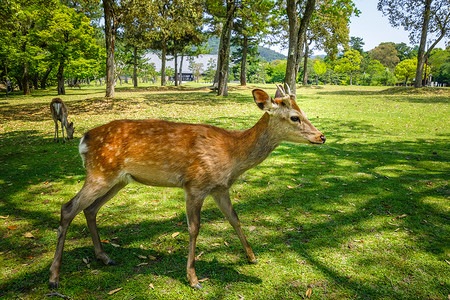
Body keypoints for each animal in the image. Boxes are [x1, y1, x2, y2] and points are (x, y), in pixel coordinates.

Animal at [48, 84, 324, 288]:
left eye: (304, 112)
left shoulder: (220, 187)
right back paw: (54, 277)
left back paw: (105, 257)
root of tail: (84, 140)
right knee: (67, 208)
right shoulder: (195, 184)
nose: (321, 136)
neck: (232, 155)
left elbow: (234, 219)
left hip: (117, 180)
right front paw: (193, 278)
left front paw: (252, 257)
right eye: (295, 117)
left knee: (90, 209)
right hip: (99, 173)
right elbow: (194, 228)